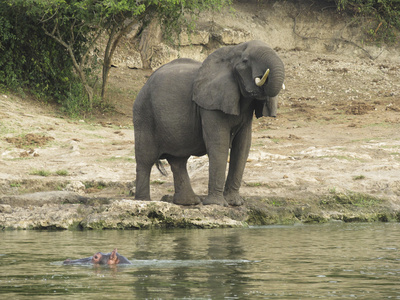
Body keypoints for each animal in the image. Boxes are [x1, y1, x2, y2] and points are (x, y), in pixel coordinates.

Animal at [134, 39, 284, 206]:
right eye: (245, 61)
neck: (230, 52)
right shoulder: (210, 104)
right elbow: (219, 143)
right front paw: (217, 204)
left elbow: (243, 145)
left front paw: (234, 203)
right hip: (144, 114)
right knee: (145, 159)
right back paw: (144, 202)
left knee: (178, 160)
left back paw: (189, 202)